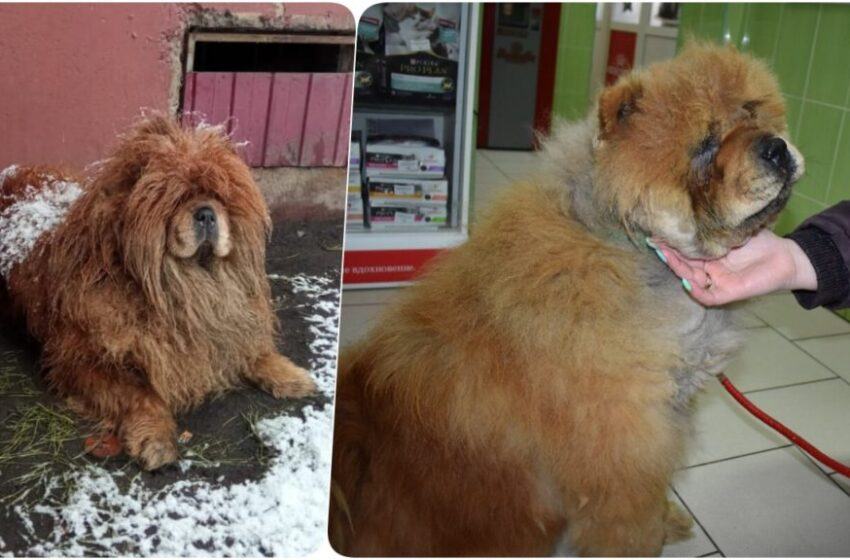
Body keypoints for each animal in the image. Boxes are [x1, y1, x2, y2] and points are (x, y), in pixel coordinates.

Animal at [0, 116, 314, 470]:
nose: (206, 213)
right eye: (177, 198)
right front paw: (157, 438)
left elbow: (254, 352)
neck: (182, 288)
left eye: (220, 197)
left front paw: (291, 375)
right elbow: (141, 395)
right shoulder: (82, 362)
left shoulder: (224, 325)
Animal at [330, 44, 800, 556]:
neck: (629, 246)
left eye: (753, 112)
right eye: (706, 143)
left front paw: (670, 521)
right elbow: (631, 530)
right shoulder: (622, 462)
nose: (776, 146)